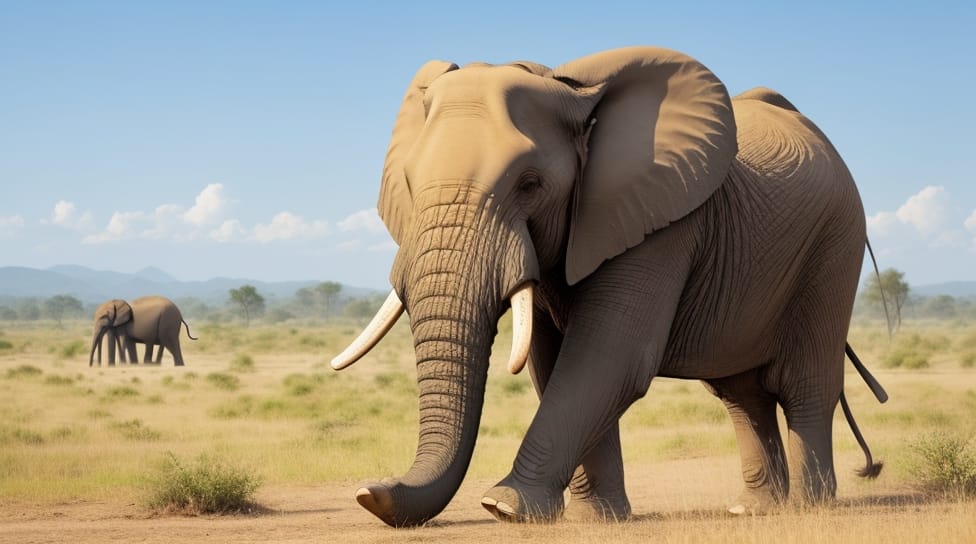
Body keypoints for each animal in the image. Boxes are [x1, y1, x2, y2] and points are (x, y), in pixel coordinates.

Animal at [330, 46, 887, 527]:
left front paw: (504, 506)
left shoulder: (660, 220)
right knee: (741, 393)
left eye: (529, 185)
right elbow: (554, 360)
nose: (370, 491)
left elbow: (607, 356)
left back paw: (810, 506)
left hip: (834, 245)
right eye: (408, 182)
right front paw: (596, 517)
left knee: (804, 384)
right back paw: (753, 509)